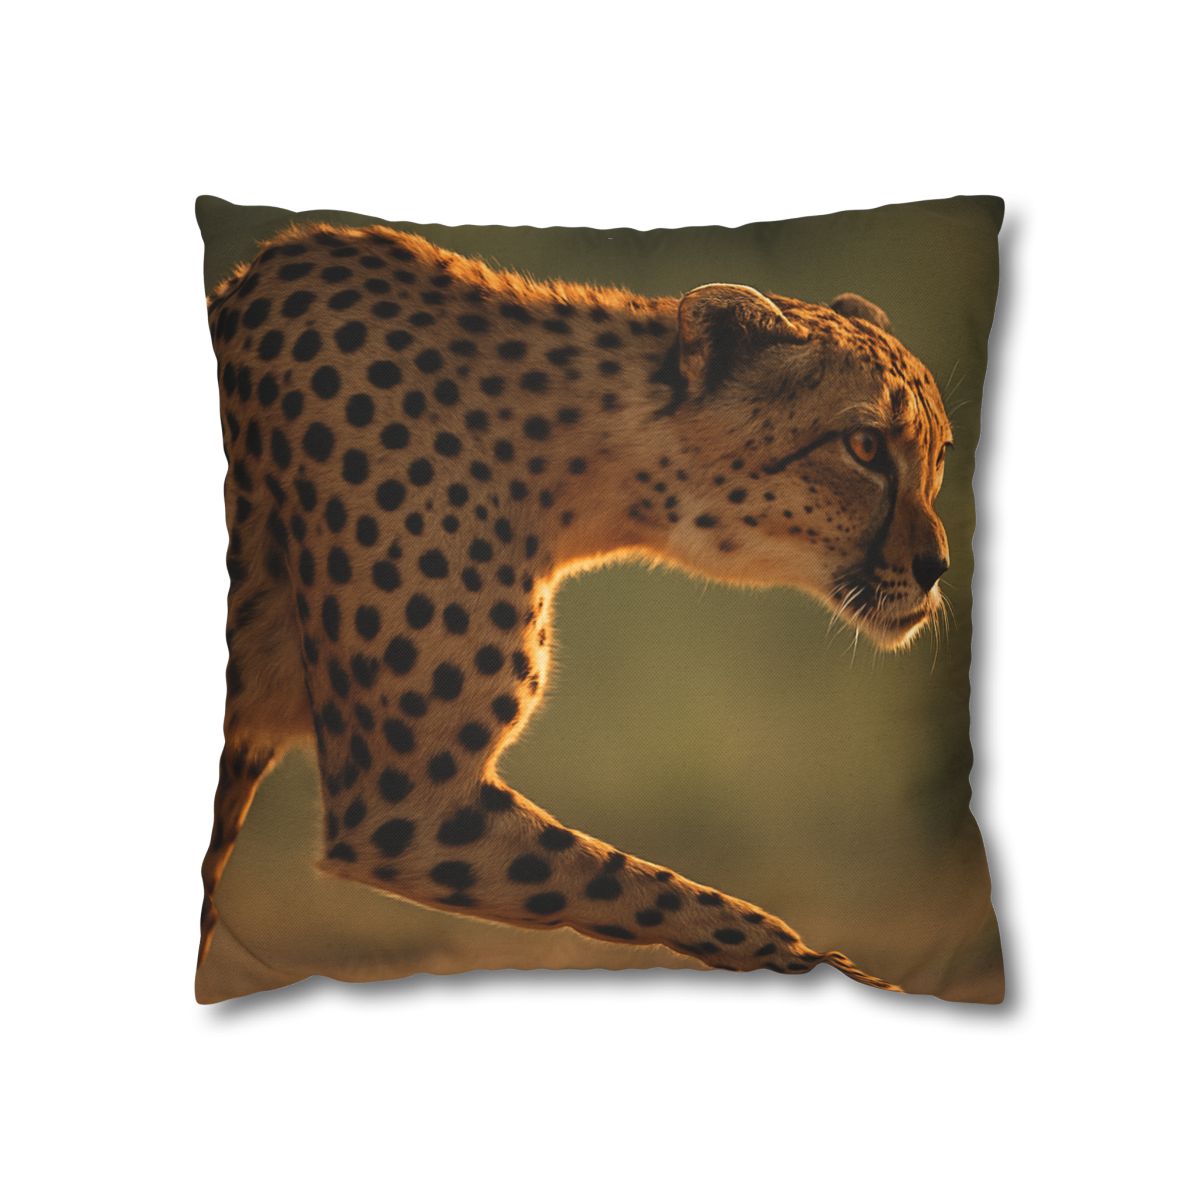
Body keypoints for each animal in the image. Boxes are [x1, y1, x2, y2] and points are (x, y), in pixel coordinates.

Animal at [200, 222, 953, 993]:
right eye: (864, 446)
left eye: (941, 453)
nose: (938, 568)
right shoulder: (400, 803)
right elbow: (660, 892)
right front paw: (839, 974)